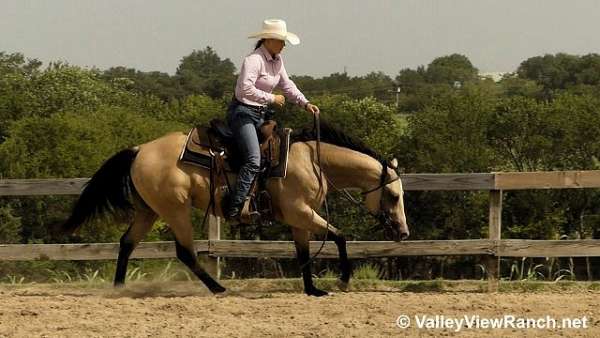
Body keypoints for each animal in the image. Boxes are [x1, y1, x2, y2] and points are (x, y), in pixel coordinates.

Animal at [63, 121, 410, 296]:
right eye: (393, 195)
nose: (404, 232)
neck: (312, 160)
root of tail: (139, 150)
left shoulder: (300, 218)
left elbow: (303, 252)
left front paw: (313, 290)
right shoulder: (300, 212)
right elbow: (339, 236)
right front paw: (343, 280)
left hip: (150, 210)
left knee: (127, 243)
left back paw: (119, 287)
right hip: (175, 210)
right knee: (185, 252)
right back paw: (218, 288)